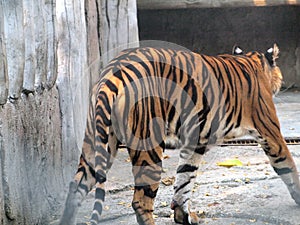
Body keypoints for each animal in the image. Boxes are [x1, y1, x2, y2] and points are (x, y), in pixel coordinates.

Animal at [59, 44, 300, 225]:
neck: (253, 62)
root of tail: (111, 73)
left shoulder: (195, 143)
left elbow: (185, 178)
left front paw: (183, 215)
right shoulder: (270, 132)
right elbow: (287, 165)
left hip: (97, 144)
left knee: (75, 188)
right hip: (148, 148)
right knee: (140, 201)